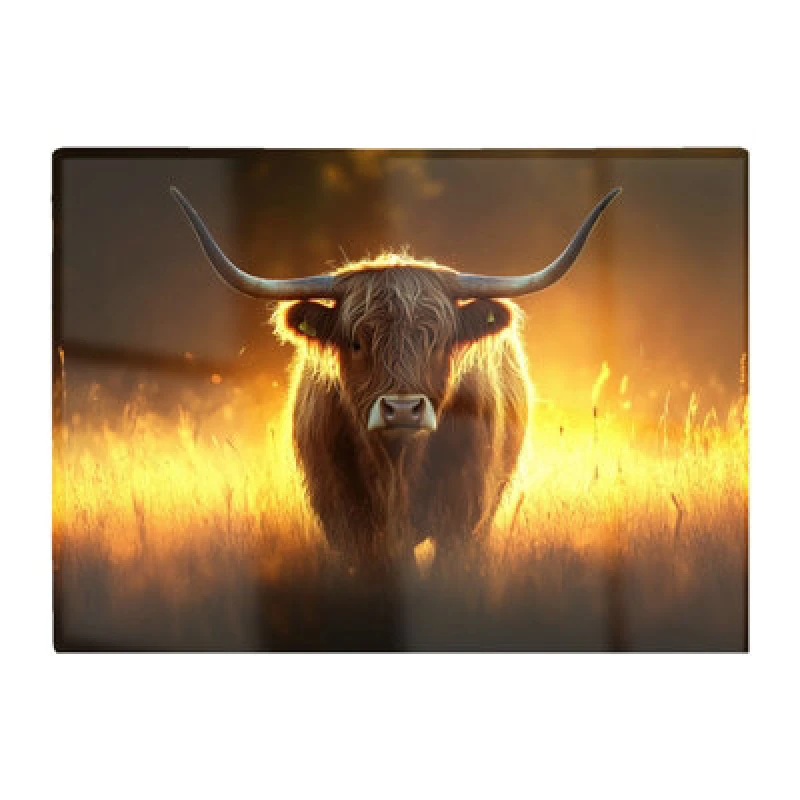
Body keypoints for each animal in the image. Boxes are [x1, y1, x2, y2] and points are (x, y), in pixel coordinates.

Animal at [172, 185, 621, 571]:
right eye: (356, 342)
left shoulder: (462, 515)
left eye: (437, 341)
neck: (397, 468)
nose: (402, 409)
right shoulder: (343, 517)